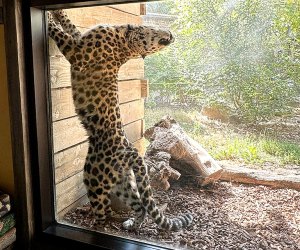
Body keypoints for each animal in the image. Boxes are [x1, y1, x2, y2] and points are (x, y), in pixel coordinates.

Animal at [47, 9, 192, 231]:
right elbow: (70, 25)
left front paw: (49, 20)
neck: (127, 38)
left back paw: (93, 225)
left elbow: (61, 34)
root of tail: (131, 151)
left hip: (93, 176)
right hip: (123, 183)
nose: (171, 38)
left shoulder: (78, 53)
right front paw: (58, 13)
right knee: (141, 206)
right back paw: (132, 224)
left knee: (103, 212)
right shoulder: (81, 39)